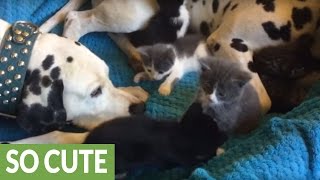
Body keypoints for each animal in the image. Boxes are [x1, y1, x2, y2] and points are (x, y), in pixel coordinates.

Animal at [84, 103, 226, 175]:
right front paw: (218, 153)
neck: (180, 133)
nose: (225, 134)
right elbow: (197, 161)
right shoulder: (176, 159)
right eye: (216, 126)